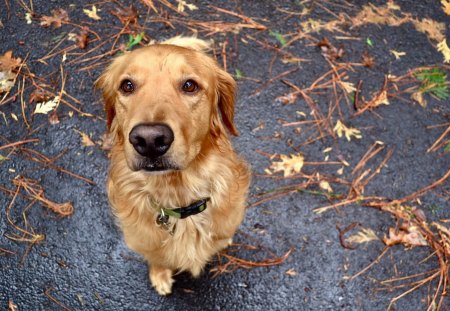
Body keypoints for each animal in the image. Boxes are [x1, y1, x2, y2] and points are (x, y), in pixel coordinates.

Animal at [96, 36, 250, 294]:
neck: (177, 195)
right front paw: (160, 275)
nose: (149, 140)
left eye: (189, 85)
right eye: (127, 86)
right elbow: (158, 258)